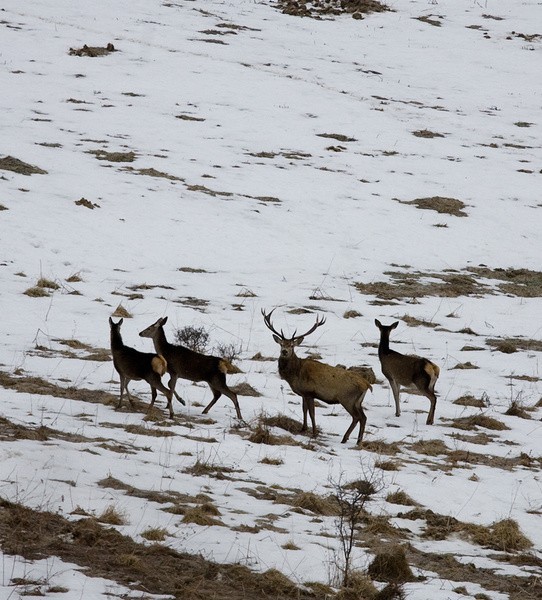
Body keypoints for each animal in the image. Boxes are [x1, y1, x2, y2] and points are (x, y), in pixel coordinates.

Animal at [264, 310, 374, 446]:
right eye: (281, 344)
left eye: (292, 346)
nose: (284, 351)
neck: (296, 373)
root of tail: (367, 384)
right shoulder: (303, 393)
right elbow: (304, 410)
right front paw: (303, 428)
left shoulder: (310, 392)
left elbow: (312, 413)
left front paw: (314, 433)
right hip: (358, 401)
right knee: (363, 417)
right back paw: (357, 441)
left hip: (347, 399)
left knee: (357, 417)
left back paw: (346, 438)